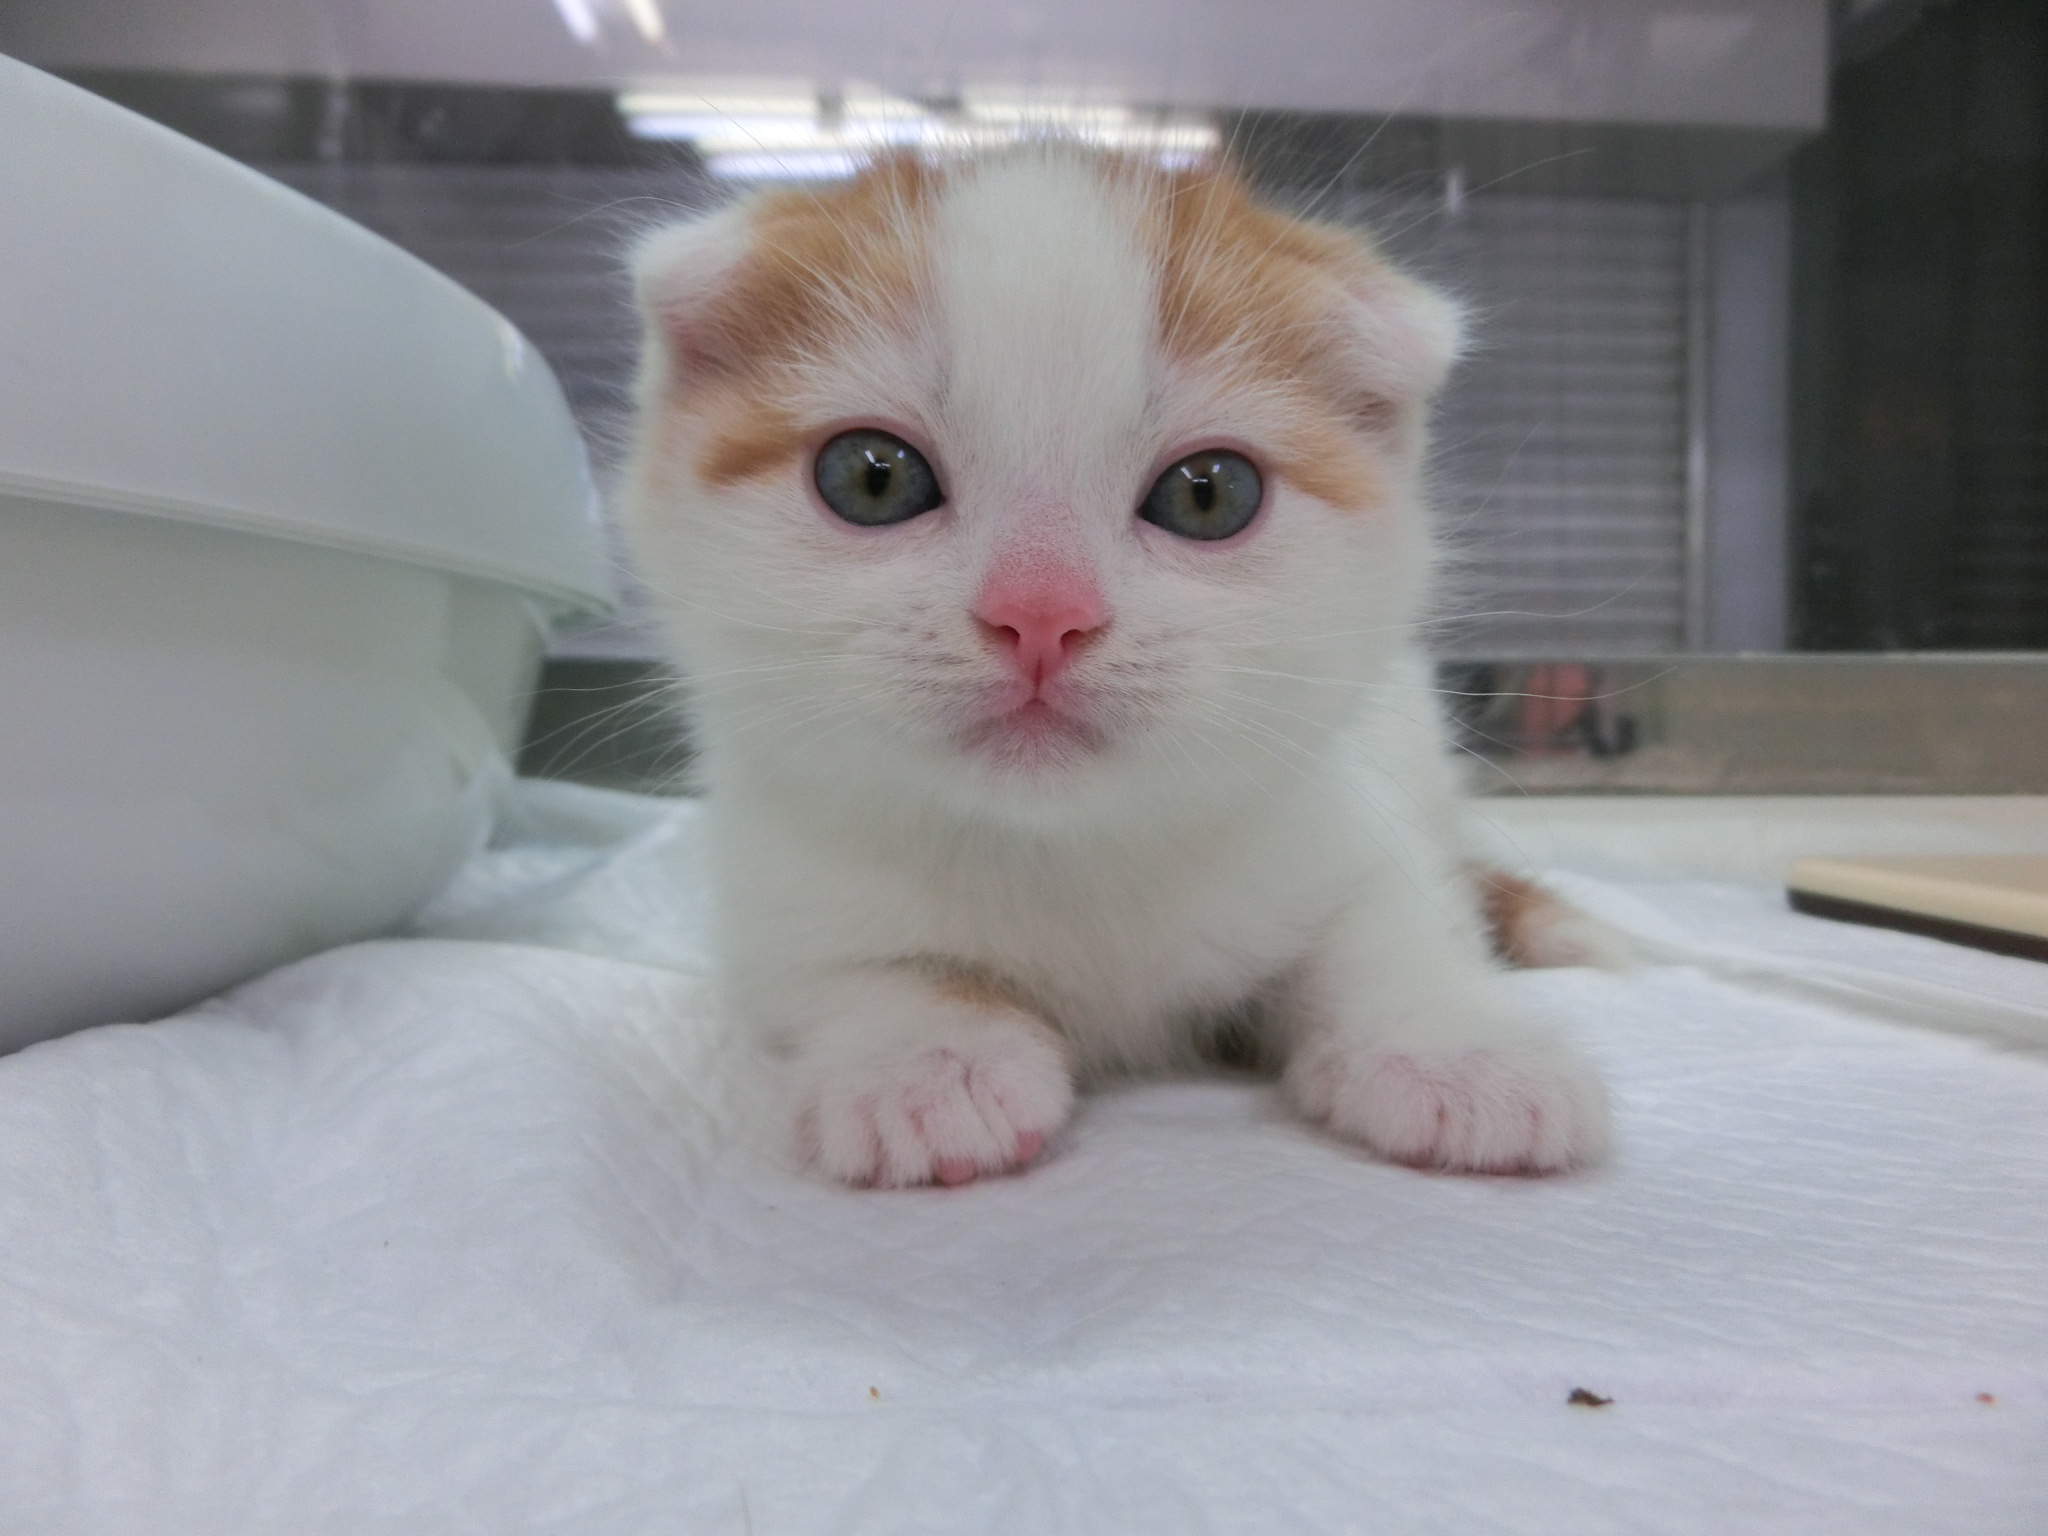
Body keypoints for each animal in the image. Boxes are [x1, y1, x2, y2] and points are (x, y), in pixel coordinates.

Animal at [614, 147, 1605, 1187]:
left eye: (1209, 494)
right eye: (872, 477)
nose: (1042, 613)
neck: (1066, 854)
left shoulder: (1348, 819)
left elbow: (1387, 924)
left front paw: (1458, 1050)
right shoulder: (773, 893)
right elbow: (846, 970)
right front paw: (926, 1061)